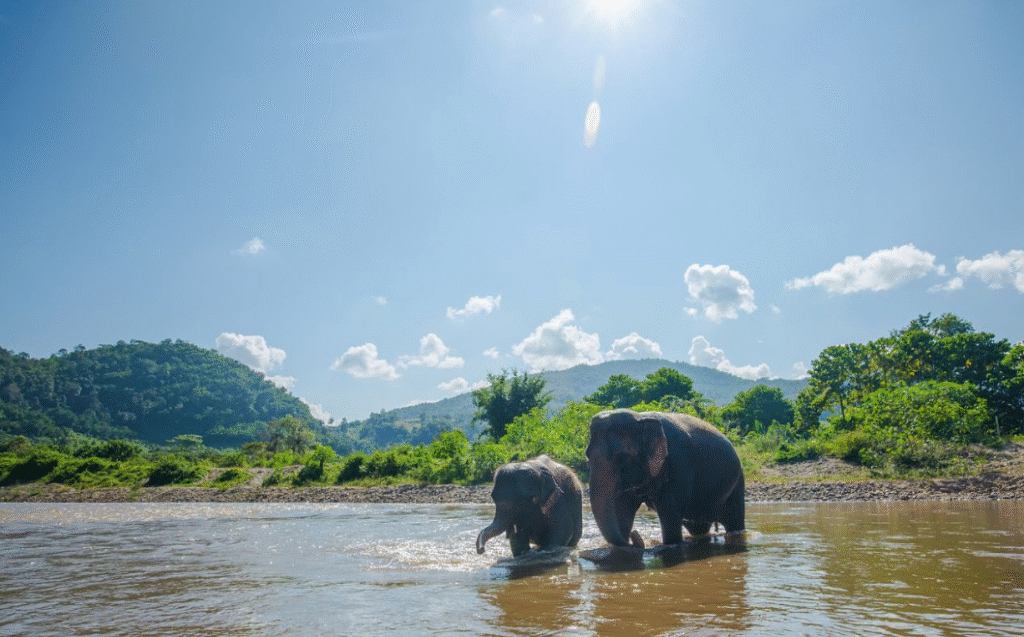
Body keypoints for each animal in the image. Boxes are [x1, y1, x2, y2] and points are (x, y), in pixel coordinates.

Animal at [586, 409, 745, 548]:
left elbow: (669, 512)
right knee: (698, 528)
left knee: (734, 522)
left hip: (737, 482)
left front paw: (671, 544)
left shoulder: (679, 462)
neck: (641, 418)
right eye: (587, 457)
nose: (635, 537)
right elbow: (623, 508)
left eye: (622, 458)